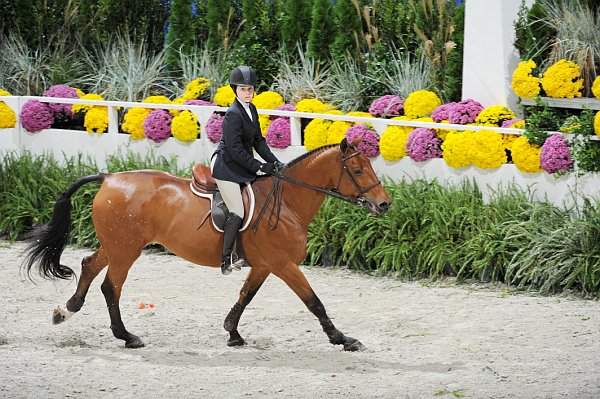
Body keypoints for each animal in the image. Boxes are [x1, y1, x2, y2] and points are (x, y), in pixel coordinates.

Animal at [22, 139, 390, 352]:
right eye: (358, 170)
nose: (384, 205)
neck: (287, 202)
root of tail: (109, 178)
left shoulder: (264, 265)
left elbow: (245, 296)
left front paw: (232, 333)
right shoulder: (284, 264)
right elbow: (315, 303)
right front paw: (343, 339)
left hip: (118, 245)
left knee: (89, 266)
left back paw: (65, 311)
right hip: (126, 251)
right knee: (111, 287)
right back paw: (127, 337)